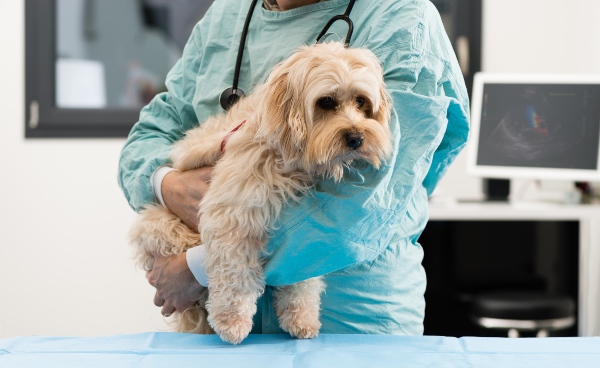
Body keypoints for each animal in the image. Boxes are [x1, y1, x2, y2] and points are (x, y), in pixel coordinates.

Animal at [130, 41, 394, 344]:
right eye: (326, 102)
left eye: (361, 101)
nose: (356, 138)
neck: (282, 152)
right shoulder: (232, 214)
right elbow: (234, 273)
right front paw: (231, 321)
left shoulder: (303, 234)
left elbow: (301, 268)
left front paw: (301, 317)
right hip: (164, 227)